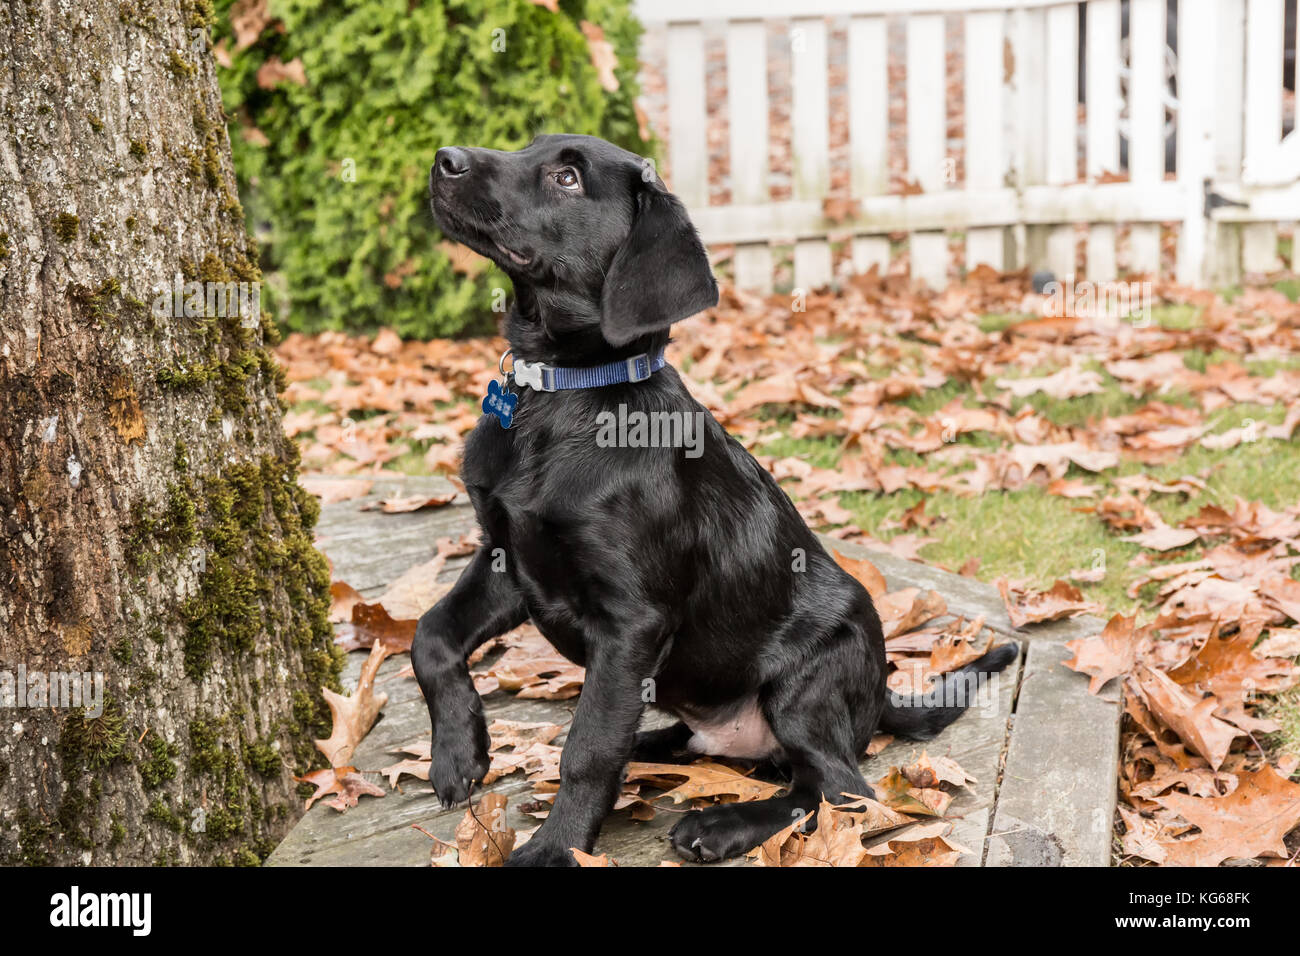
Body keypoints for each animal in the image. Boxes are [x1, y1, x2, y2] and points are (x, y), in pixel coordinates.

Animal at [418, 132, 1013, 868]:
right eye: (529, 145)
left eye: (567, 179)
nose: (444, 158)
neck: (561, 396)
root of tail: (877, 697)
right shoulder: (505, 558)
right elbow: (431, 635)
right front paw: (457, 756)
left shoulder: (630, 620)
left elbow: (588, 748)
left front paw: (555, 849)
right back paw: (653, 751)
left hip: (805, 684)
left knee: (841, 789)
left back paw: (721, 824)